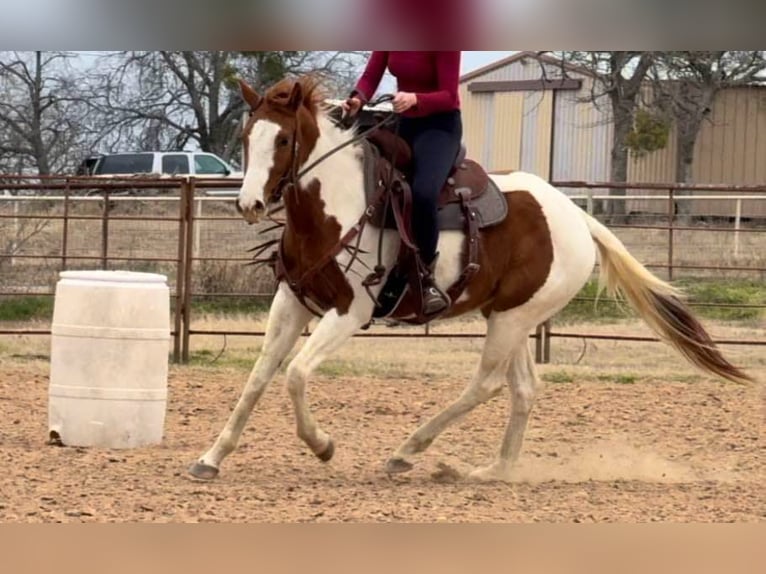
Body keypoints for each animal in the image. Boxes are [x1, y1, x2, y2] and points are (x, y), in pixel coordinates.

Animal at [188, 75, 751, 482]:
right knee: (523, 389)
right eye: (247, 136)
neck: (337, 205)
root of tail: (576, 216)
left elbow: (296, 375)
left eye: (284, 137)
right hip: (510, 315)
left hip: (512, 319)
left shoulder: (350, 311)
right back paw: (492, 471)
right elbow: (260, 376)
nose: (248, 204)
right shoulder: (293, 300)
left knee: (486, 384)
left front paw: (323, 445)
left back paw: (407, 452)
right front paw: (211, 458)